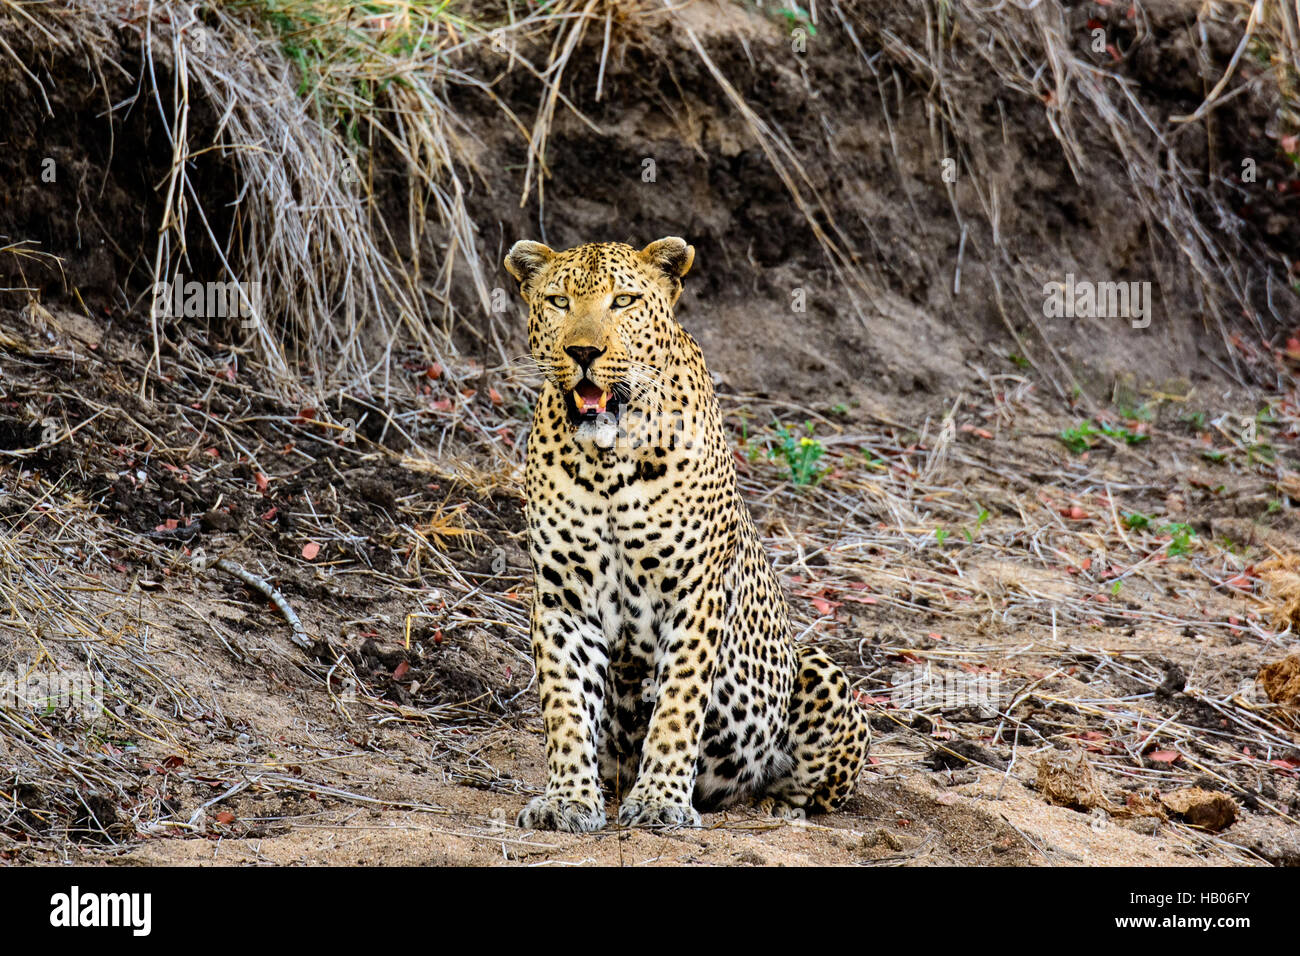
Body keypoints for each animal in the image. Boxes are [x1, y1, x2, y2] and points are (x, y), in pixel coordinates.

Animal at [506, 234, 873, 832]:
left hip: (820, 672)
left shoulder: (694, 592)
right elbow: (564, 705)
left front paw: (660, 799)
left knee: (806, 789)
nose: (583, 352)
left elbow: (678, 703)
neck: (608, 459)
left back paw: (772, 806)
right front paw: (567, 800)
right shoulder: (563, 598)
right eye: (559, 302)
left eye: (624, 301)